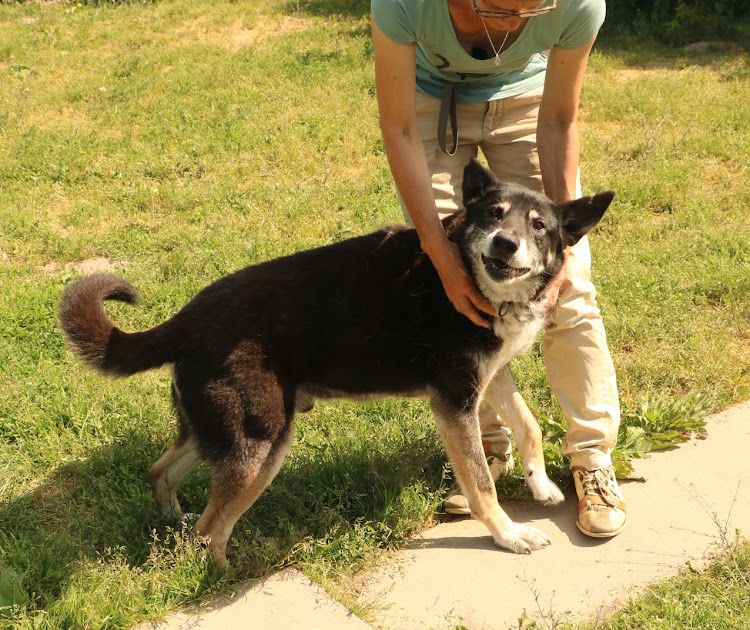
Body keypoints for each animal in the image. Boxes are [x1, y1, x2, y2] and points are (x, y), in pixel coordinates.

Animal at [58, 159, 612, 568]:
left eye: (539, 226)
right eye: (494, 214)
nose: (505, 243)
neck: (468, 278)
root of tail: (188, 318)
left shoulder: (490, 377)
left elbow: (530, 425)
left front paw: (540, 485)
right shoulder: (455, 403)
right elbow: (480, 483)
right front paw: (510, 535)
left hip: (222, 430)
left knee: (161, 473)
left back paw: (172, 521)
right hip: (260, 445)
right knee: (209, 530)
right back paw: (225, 572)